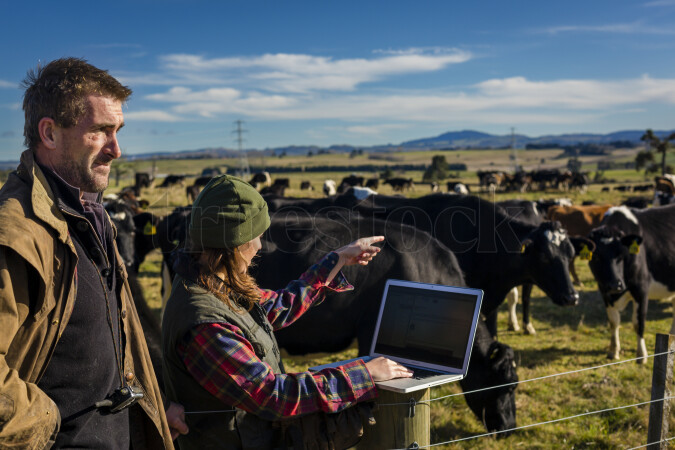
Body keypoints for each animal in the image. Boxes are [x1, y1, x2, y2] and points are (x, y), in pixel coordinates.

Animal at [588, 206, 675, 364]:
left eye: (622, 255)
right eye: (596, 257)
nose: (615, 284)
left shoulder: (641, 290)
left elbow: (638, 322)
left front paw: (641, 355)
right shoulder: (603, 290)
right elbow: (613, 321)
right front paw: (613, 351)